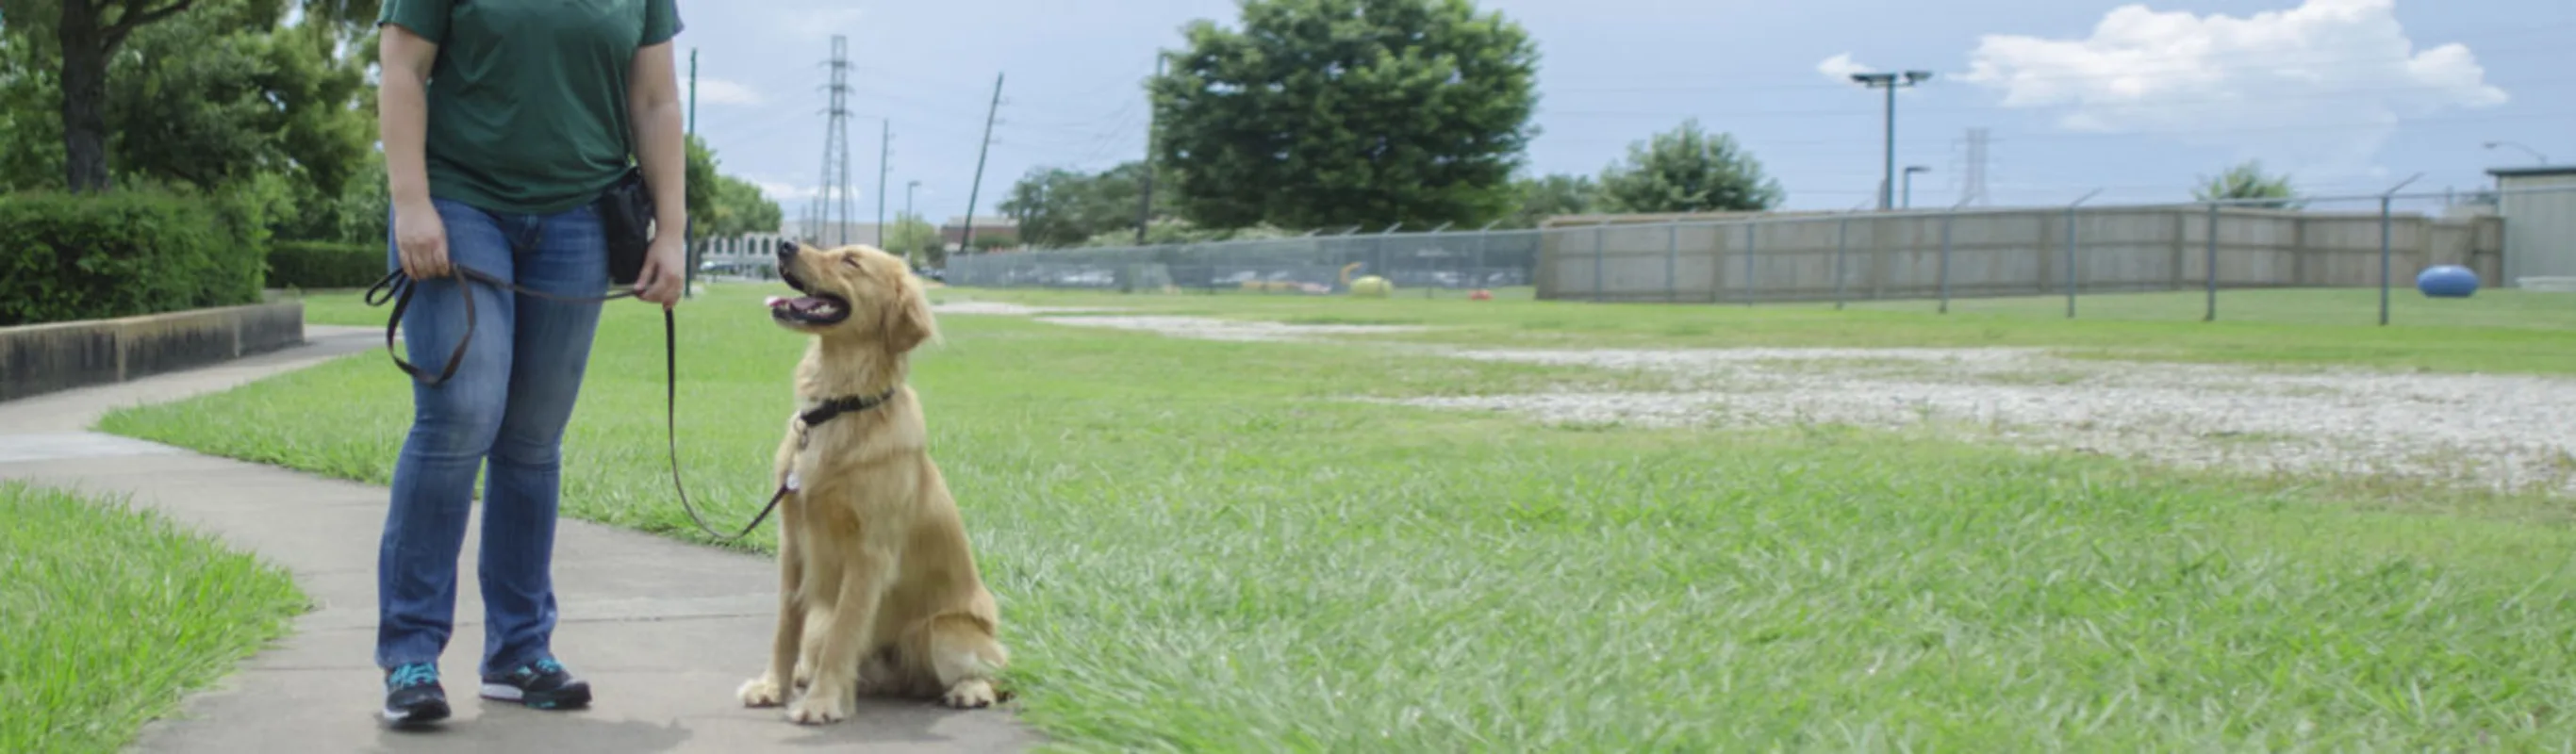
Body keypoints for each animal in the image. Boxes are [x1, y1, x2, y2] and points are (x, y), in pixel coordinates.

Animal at [736, 238, 1004, 720]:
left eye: (850, 261)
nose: (783, 243)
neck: (840, 405)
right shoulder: (793, 541)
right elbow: (786, 627)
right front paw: (773, 687)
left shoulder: (869, 553)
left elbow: (845, 632)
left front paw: (822, 702)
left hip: (945, 633)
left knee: (995, 675)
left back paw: (969, 690)